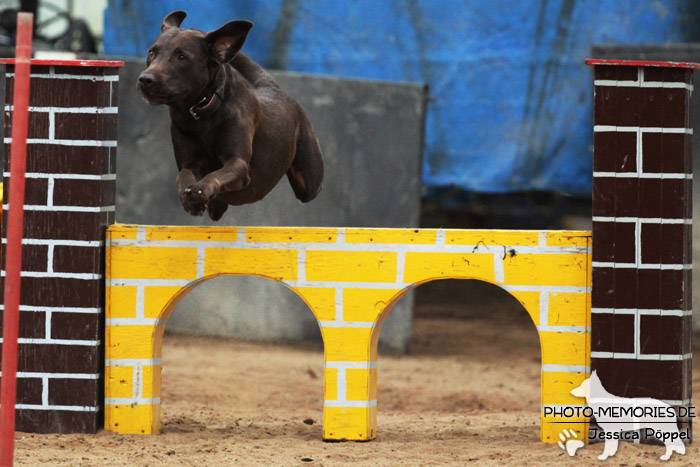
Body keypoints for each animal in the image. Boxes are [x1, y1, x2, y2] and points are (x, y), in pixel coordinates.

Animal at [135, 10, 324, 221]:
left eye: (182, 56)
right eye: (152, 52)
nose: (145, 79)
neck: (202, 116)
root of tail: (270, 87)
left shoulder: (238, 163)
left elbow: (217, 174)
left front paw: (201, 189)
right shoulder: (189, 161)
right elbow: (183, 175)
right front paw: (190, 199)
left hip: (309, 179)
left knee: (314, 187)